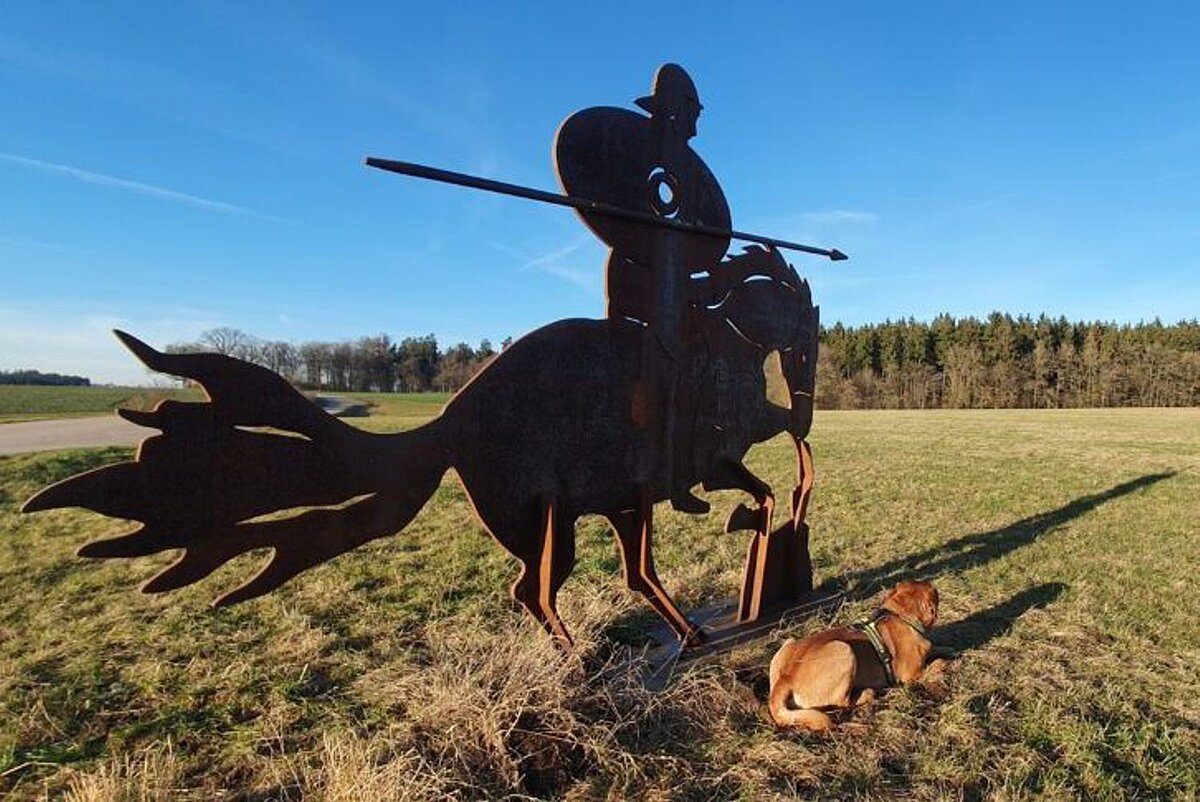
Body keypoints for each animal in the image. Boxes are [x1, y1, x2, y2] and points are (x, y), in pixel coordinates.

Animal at [768, 578, 945, 729]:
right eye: (934, 592)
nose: (935, 585)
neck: (900, 616)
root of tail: (785, 678)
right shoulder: (910, 675)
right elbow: (937, 663)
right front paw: (941, 664)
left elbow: (939, 649)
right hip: (844, 649)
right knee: (842, 702)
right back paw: (867, 693)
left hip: (788, 643)